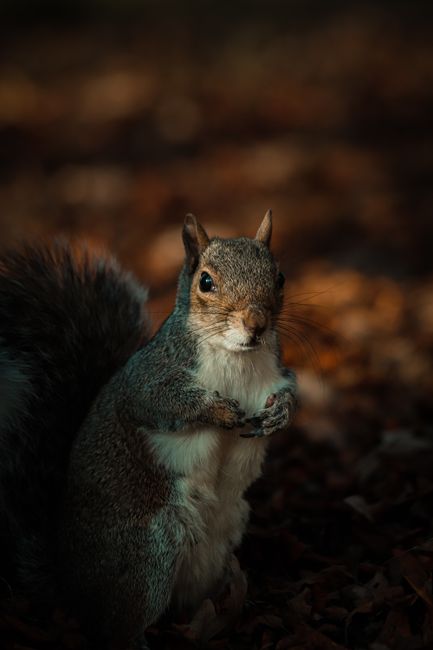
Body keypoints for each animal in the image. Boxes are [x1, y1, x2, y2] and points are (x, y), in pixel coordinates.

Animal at [0, 211, 297, 649]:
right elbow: (160, 402)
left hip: (219, 540)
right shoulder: (148, 379)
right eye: (205, 281)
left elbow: (290, 391)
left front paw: (282, 414)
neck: (237, 358)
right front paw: (218, 411)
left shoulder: (276, 374)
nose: (256, 323)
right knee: (117, 624)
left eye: (279, 277)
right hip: (146, 558)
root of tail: (73, 584)